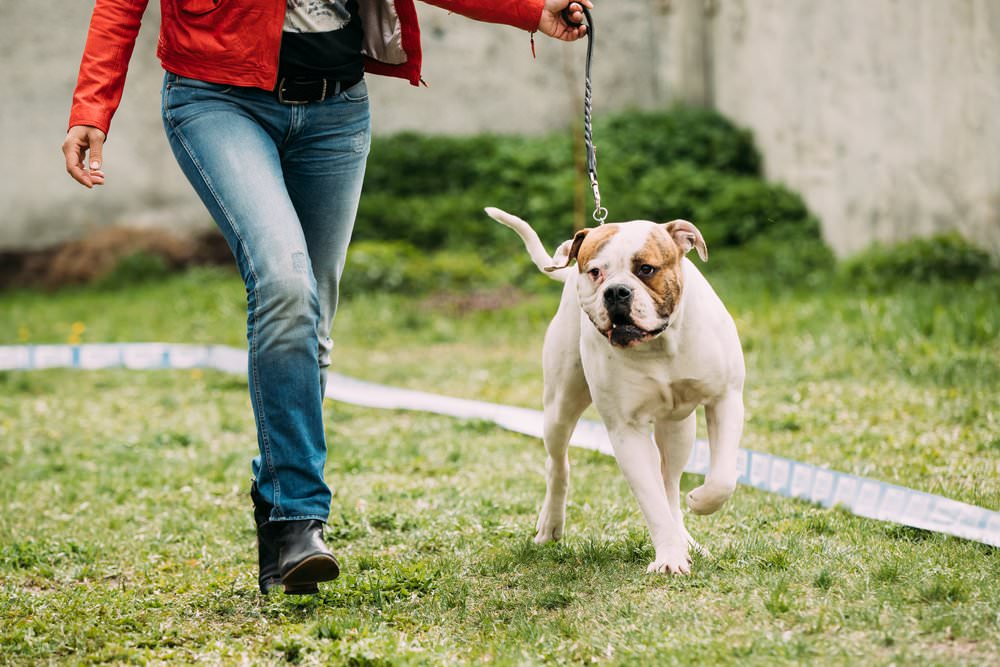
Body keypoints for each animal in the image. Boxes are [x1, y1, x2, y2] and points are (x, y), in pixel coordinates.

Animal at [480, 207, 748, 576]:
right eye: (595, 271)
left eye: (646, 269)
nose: (617, 292)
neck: (658, 345)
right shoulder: (626, 431)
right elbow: (651, 501)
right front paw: (669, 557)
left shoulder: (726, 399)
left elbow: (722, 479)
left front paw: (699, 502)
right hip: (560, 408)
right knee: (558, 464)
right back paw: (551, 524)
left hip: (678, 428)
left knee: (669, 483)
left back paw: (686, 537)